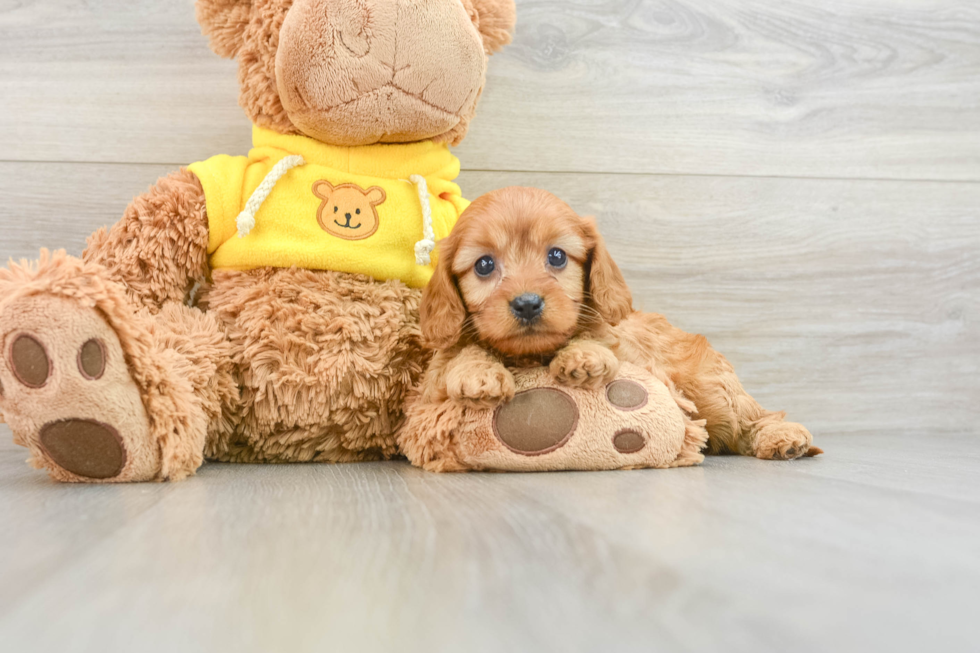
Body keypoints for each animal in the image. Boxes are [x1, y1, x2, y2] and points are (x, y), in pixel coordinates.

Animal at [422, 185, 820, 458]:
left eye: (556, 256)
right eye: (484, 265)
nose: (527, 304)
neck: (532, 355)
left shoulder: (638, 359)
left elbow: (601, 339)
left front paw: (584, 355)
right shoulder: (436, 372)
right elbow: (459, 353)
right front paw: (478, 372)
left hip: (712, 390)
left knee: (753, 415)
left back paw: (782, 437)